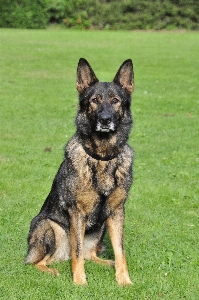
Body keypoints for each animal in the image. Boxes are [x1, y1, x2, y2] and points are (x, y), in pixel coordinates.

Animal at [24, 57, 134, 284]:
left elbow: (120, 251)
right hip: (50, 227)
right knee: (38, 261)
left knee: (89, 254)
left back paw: (107, 263)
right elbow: (77, 251)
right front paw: (80, 282)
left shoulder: (116, 212)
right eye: (95, 100)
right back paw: (51, 270)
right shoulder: (77, 213)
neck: (101, 158)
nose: (105, 119)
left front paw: (124, 281)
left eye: (115, 100)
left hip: (100, 226)